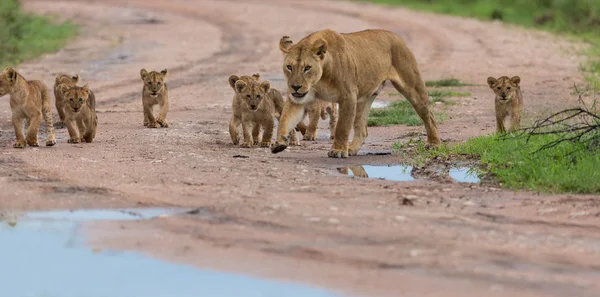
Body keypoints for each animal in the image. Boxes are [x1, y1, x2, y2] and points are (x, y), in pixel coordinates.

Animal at [270, 28, 438, 157]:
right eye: (289, 67)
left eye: (307, 68)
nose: (295, 87)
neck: (320, 78)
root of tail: (395, 35)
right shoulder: (298, 99)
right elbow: (286, 119)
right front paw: (279, 142)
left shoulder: (348, 96)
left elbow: (342, 127)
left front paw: (338, 150)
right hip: (364, 98)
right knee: (362, 129)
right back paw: (352, 148)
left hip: (412, 87)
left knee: (429, 115)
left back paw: (434, 144)